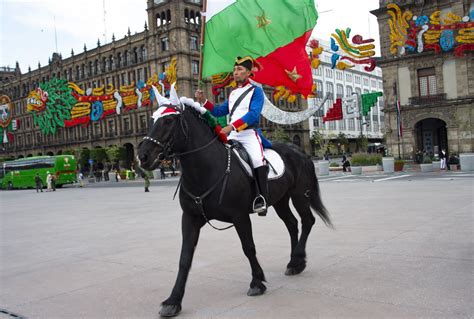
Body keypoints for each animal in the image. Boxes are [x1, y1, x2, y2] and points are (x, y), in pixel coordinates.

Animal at [138, 105, 334, 318]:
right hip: (281, 200)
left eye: (168, 121)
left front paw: (257, 282)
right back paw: (294, 263)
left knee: (307, 221)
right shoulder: (190, 219)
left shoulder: (240, 217)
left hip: (299, 195)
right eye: (151, 119)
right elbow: (185, 258)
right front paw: (173, 301)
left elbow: (248, 248)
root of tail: (298, 150)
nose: (143, 156)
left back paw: (297, 259)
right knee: (292, 224)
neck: (207, 170)